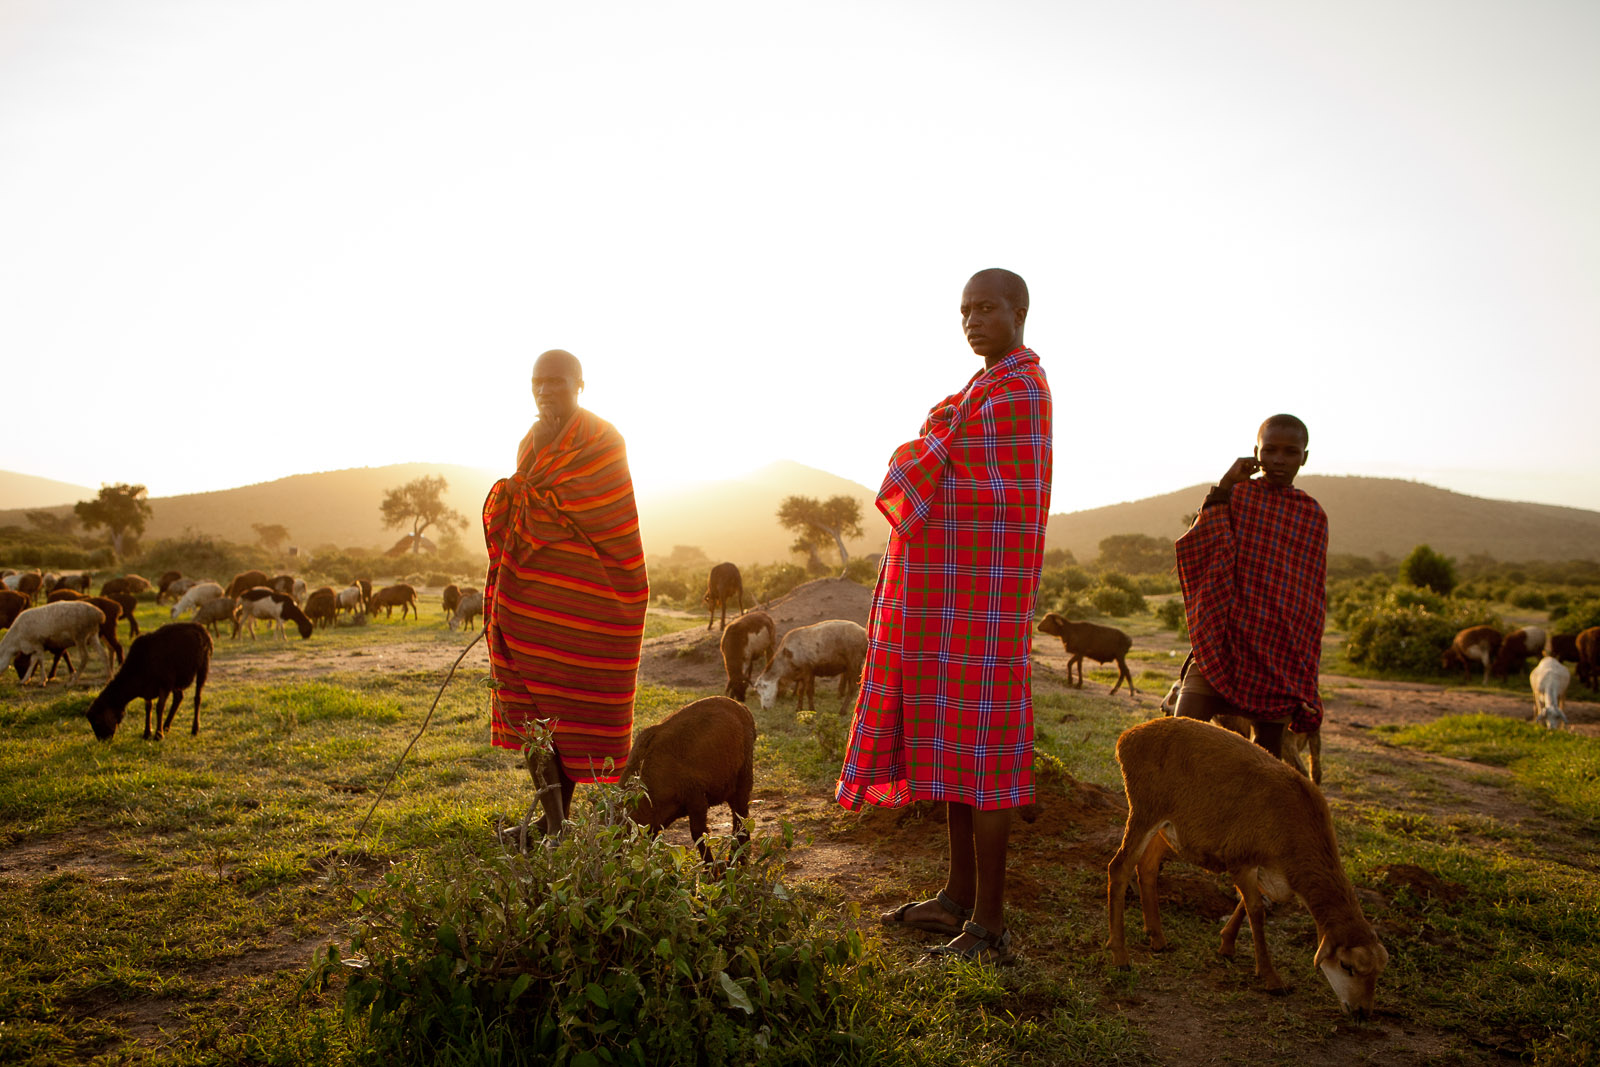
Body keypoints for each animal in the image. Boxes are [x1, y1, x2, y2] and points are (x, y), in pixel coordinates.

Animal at [617, 697, 755, 863]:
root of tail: (742, 708)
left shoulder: (697, 800)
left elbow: (699, 834)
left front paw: (711, 867)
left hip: (743, 778)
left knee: (740, 817)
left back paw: (737, 859)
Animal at [1107, 716, 1395, 1017]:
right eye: (1347, 966)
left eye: (1378, 973)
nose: (1362, 1013)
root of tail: (1128, 736)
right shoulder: (1242, 858)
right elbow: (1256, 911)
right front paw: (1272, 979)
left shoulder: (1268, 872)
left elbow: (1246, 905)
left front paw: (1227, 945)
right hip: (1145, 809)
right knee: (1120, 868)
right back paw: (1121, 956)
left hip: (1168, 826)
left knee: (1147, 867)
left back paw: (1158, 938)